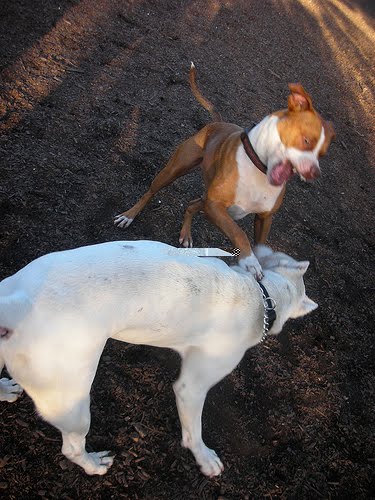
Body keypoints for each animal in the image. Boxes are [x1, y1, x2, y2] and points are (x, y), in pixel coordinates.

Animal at [0, 242, 318, 476]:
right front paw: (204, 458)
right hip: (70, 402)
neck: (260, 296)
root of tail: (21, 302)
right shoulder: (192, 388)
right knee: (72, 448)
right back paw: (94, 465)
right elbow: (194, 431)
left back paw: (6, 390)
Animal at [114, 63, 334, 280]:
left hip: (203, 199)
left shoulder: (263, 218)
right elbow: (239, 233)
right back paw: (129, 216)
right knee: (150, 192)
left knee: (191, 205)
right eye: (306, 140)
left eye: (323, 154)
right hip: (174, 170)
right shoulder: (215, 205)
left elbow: (259, 244)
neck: (259, 169)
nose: (314, 173)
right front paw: (250, 261)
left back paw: (186, 235)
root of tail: (217, 123)